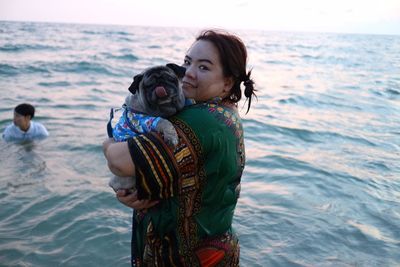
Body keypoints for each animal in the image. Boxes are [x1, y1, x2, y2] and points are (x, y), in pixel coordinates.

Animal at [107, 63, 187, 194]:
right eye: (149, 85)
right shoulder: (146, 121)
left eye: (170, 79)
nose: (160, 85)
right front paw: (172, 138)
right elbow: (164, 122)